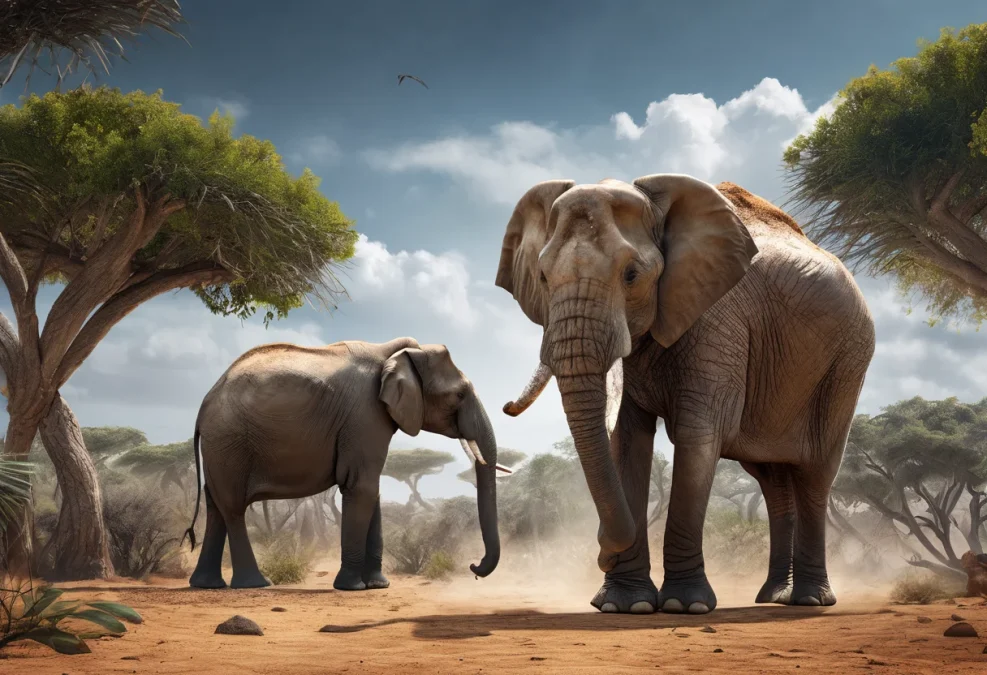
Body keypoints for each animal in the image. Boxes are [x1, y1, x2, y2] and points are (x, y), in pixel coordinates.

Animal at [183, 336, 503, 590]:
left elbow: (371, 490)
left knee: (216, 506)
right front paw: (352, 587)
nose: (473, 568)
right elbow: (361, 487)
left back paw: (207, 585)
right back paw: (256, 584)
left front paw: (377, 586)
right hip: (230, 442)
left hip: (221, 446)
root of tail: (204, 403)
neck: (400, 352)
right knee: (233, 508)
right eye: (459, 395)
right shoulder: (365, 415)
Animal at [495, 174, 875, 615]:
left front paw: (682, 605)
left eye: (631, 275)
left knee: (815, 472)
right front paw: (625, 605)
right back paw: (772, 596)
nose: (602, 550)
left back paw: (810, 600)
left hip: (847, 362)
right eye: (541, 276)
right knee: (772, 482)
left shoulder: (717, 317)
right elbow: (627, 442)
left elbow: (698, 435)